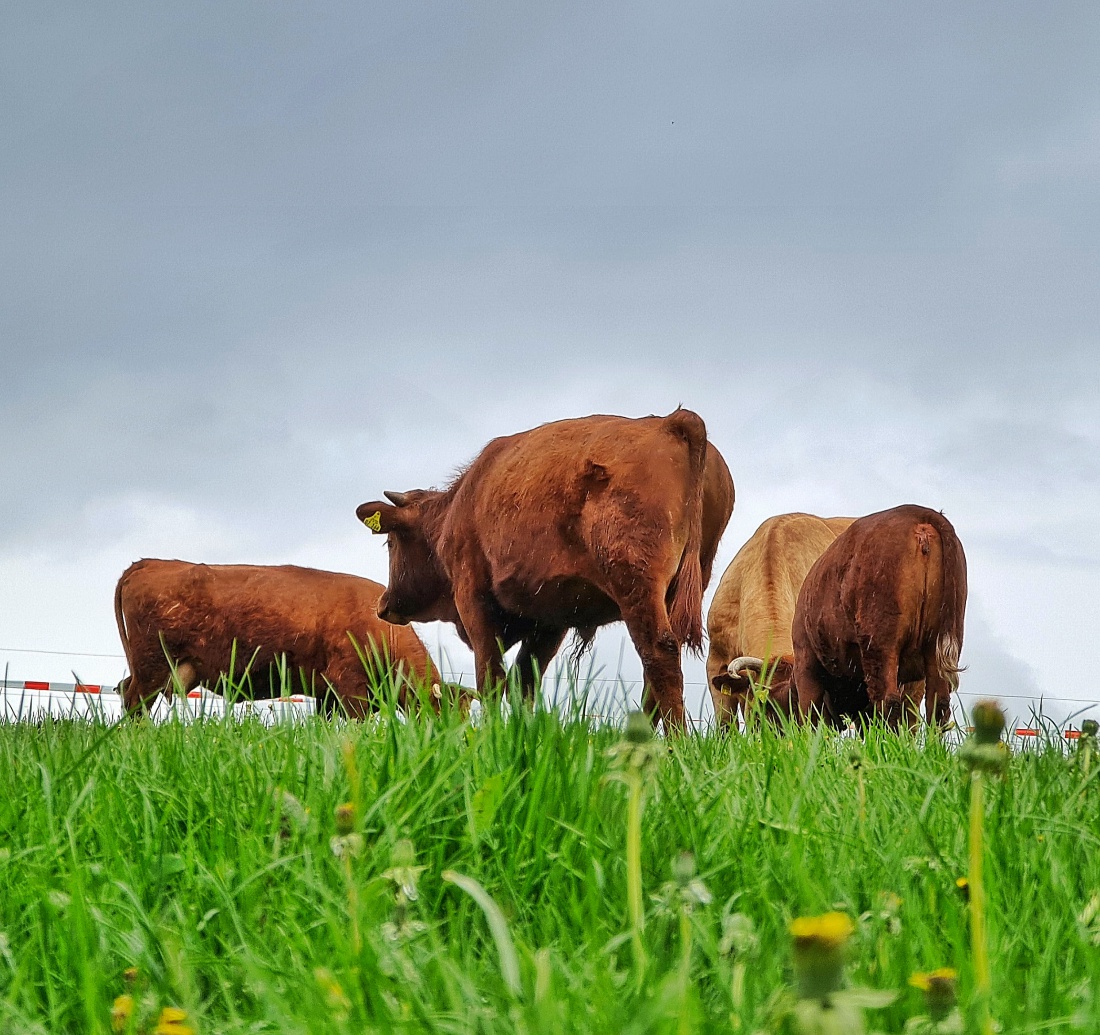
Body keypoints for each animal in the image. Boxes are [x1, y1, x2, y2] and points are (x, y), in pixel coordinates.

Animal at [356, 406, 734, 730]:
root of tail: (672, 422)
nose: (384, 604)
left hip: (635, 581)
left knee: (659, 654)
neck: (457, 508)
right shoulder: (550, 619)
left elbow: (491, 677)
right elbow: (524, 681)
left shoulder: (473, 597)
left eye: (390, 543)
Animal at [792, 503, 963, 721]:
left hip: (880, 643)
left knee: (887, 701)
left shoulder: (805, 660)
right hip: (938, 645)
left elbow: (809, 714)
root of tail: (918, 512)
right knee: (938, 704)